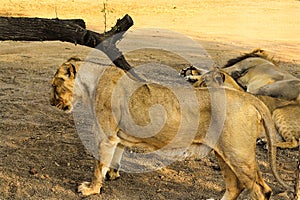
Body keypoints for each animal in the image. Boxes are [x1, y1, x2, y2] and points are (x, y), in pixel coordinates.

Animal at [49, 57, 290, 198]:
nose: (51, 102)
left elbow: (98, 166)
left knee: (261, 189)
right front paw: (113, 174)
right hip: (225, 153)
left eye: (54, 86)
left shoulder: (105, 136)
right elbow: (115, 157)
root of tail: (248, 97)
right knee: (235, 187)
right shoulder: (116, 137)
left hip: (238, 154)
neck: (90, 84)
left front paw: (90, 189)